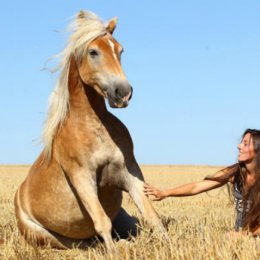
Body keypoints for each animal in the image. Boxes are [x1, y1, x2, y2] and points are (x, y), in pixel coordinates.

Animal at [14, 10, 166, 252]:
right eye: (93, 51)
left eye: (120, 50)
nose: (123, 92)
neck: (94, 127)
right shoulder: (82, 177)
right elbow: (101, 222)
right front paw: (113, 253)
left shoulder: (130, 171)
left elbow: (151, 215)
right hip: (42, 234)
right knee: (80, 243)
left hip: (122, 216)